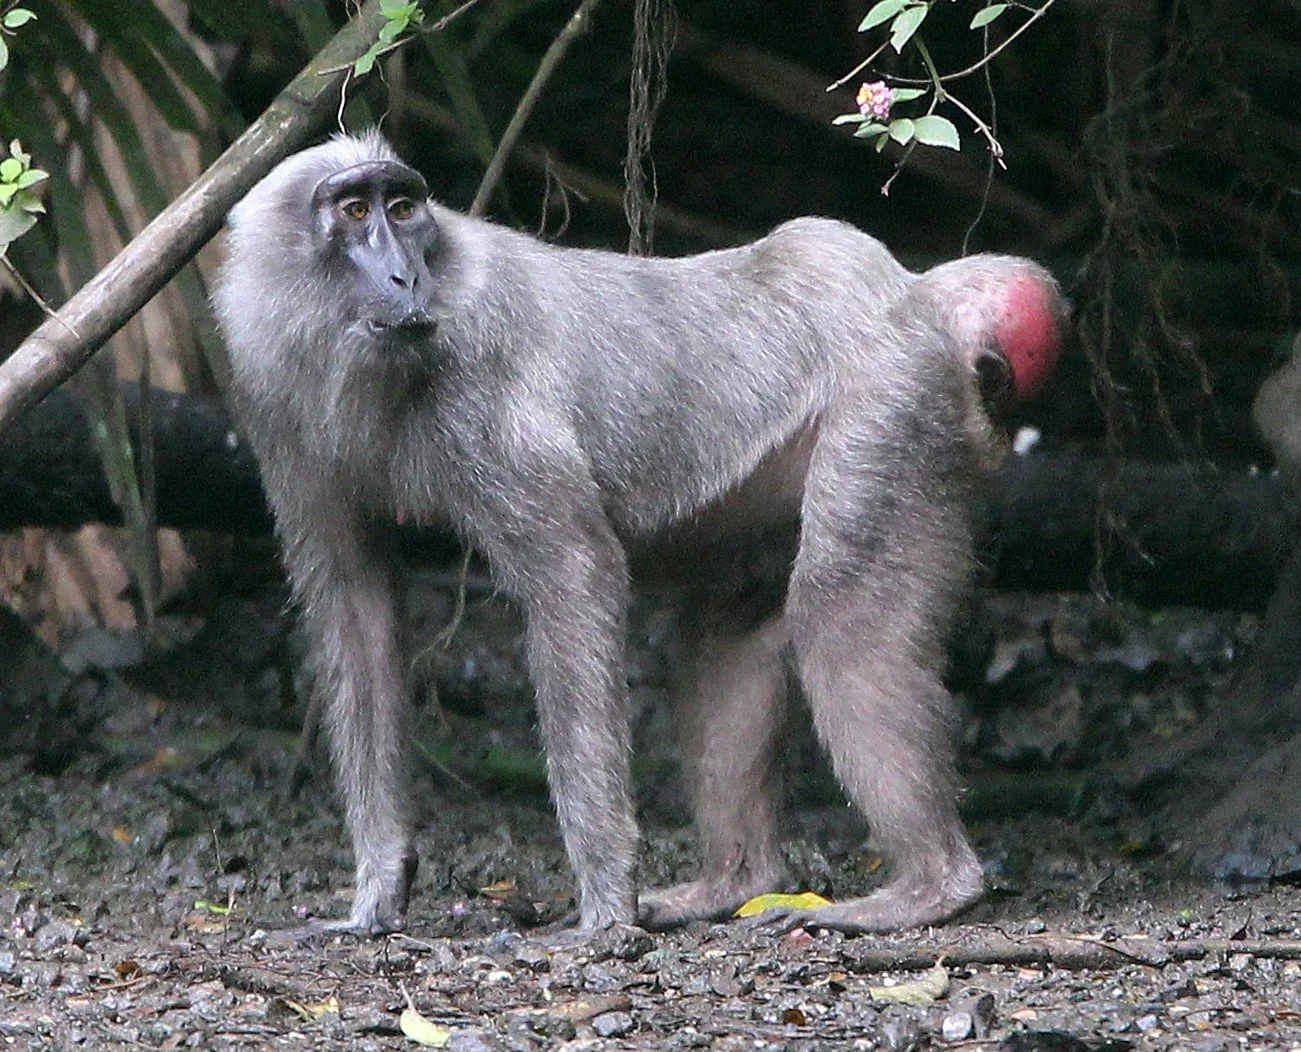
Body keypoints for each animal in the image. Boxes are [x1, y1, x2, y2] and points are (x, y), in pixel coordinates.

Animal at [213, 131, 1064, 937]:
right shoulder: (272, 403)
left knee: (840, 621)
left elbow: (574, 575)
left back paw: (928, 887)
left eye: (402, 208)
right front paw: (380, 890)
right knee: (729, 634)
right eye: (355, 211)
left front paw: (602, 908)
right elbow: (355, 607)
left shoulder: (477, 379)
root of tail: (908, 294)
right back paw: (736, 883)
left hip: (891, 405)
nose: (404, 278)